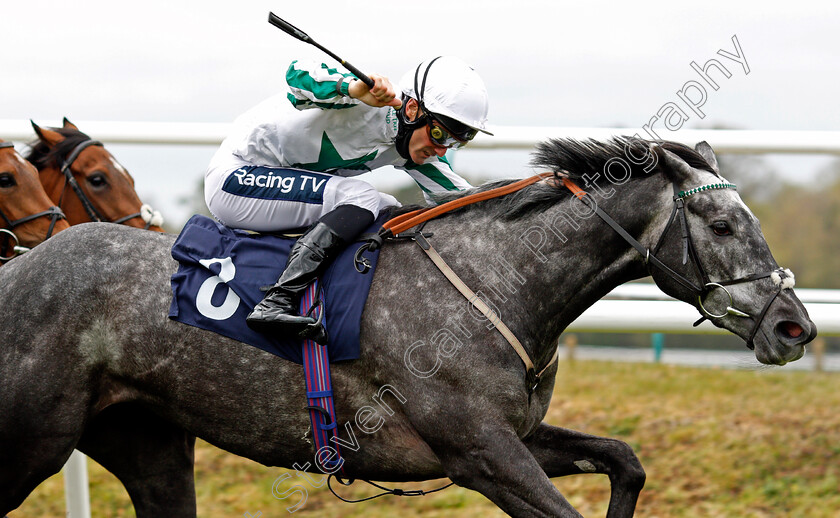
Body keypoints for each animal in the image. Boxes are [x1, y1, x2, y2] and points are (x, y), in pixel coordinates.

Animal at [0, 139, 812, 518]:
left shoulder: (511, 436)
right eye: (721, 224)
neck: (499, 279)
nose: (796, 327)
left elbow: (625, 459)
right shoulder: (479, 452)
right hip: (33, 438)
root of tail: (19, 267)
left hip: (149, 444)